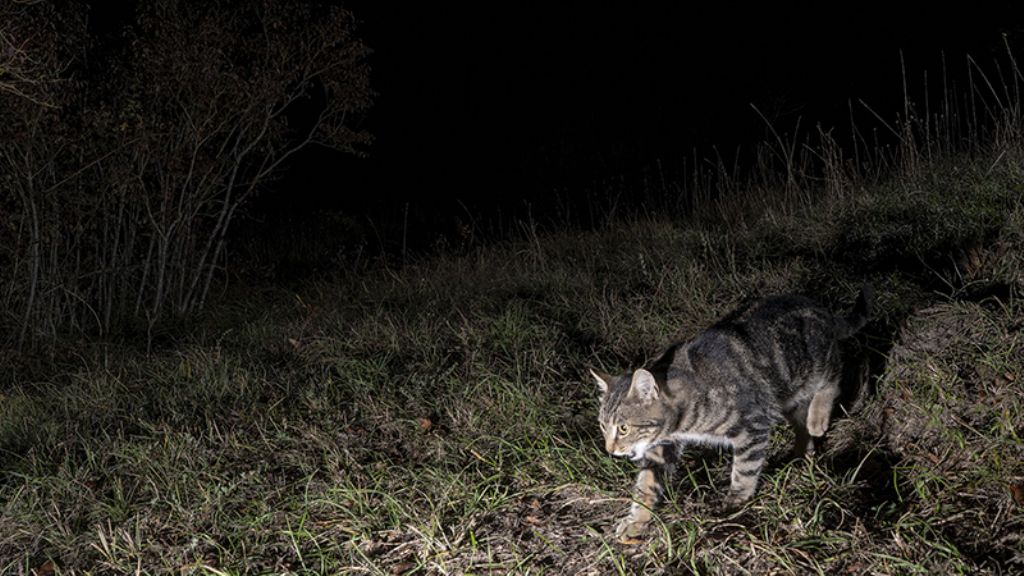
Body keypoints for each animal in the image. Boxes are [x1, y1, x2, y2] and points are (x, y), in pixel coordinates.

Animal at [593, 284, 872, 537]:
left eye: (623, 428)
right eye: (603, 426)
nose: (609, 449)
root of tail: (819, 307)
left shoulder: (752, 425)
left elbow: (745, 470)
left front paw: (736, 501)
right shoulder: (662, 445)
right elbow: (647, 483)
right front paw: (637, 520)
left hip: (815, 364)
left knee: (834, 375)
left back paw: (818, 417)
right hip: (789, 390)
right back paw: (803, 452)